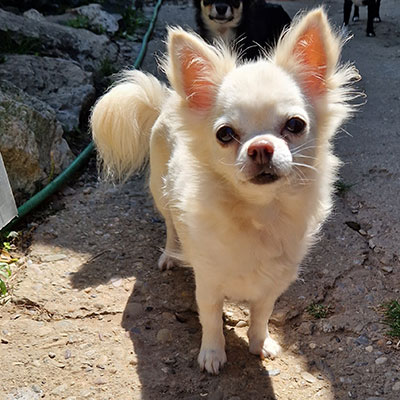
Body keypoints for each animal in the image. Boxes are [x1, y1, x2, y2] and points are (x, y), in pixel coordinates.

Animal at [90, 7, 360, 374]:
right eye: (225, 134)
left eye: (295, 125)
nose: (261, 147)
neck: (259, 212)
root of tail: (167, 102)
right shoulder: (208, 283)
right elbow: (211, 319)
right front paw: (213, 354)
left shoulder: (271, 285)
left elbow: (261, 317)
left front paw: (260, 344)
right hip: (162, 192)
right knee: (171, 225)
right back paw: (169, 255)